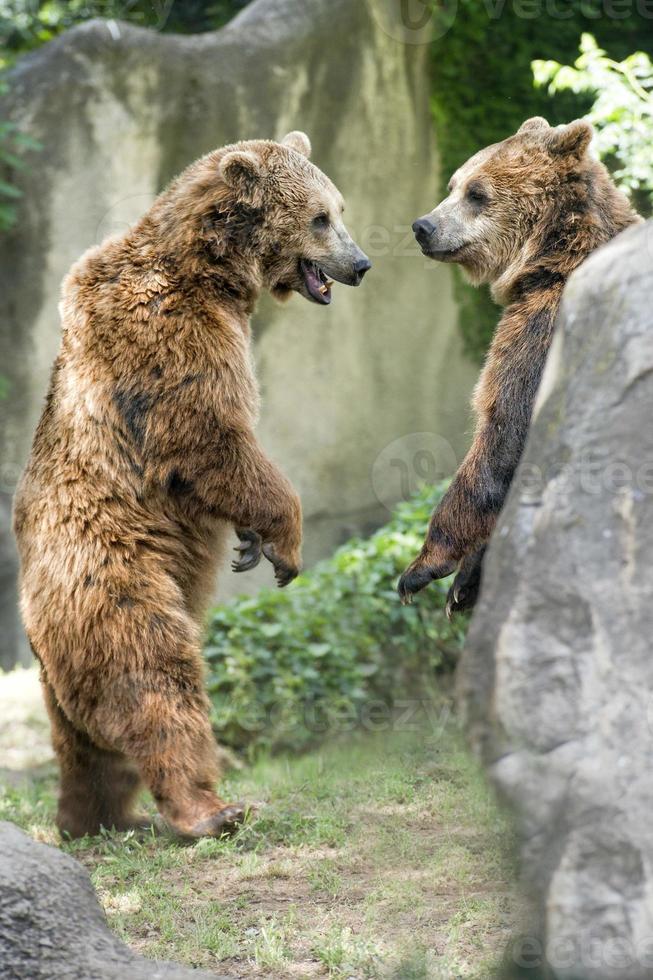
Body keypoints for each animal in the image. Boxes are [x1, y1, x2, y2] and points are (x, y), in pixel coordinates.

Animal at [15, 128, 370, 836]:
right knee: (151, 673)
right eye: (322, 216)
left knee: (84, 741)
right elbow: (211, 438)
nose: (361, 263)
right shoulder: (170, 336)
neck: (215, 274)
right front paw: (283, 543)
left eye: (338, 208)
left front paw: (249, 545)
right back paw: (210, 807)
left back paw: (93, 816)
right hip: (110, 568)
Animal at [394, 117, 640, 612]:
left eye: (477, 193)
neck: (546, 258)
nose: (423, 226)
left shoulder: (541, 333)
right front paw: (465, 583)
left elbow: (503, 436)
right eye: (452, 184)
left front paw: (424, 569)